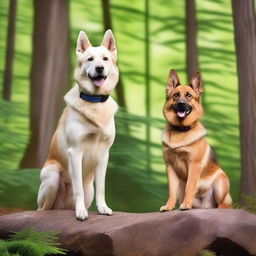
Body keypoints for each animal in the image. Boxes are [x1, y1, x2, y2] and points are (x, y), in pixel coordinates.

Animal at [37, 30, 119, 221]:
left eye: (105, 59)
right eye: (90, 59)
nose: (99, 68)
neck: (94, 102)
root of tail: (62, 206)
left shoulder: (104, 154)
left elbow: (102, 187)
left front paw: (103, 208)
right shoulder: (75, 152)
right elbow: (78, 189)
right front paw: (81, 211)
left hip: (89, 189)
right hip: (52, 174)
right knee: (43, 210)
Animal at [160, 69, 232, 211]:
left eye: (189, 96)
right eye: (176, 95)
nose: (181, 104)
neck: (180, 130)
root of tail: (207, 206)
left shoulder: (194, 165)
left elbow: (190, 187)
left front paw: (186, 205)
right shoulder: (170, 167)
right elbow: (171, 191)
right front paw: (169, 206)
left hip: (220, 183)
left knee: (224, 205)